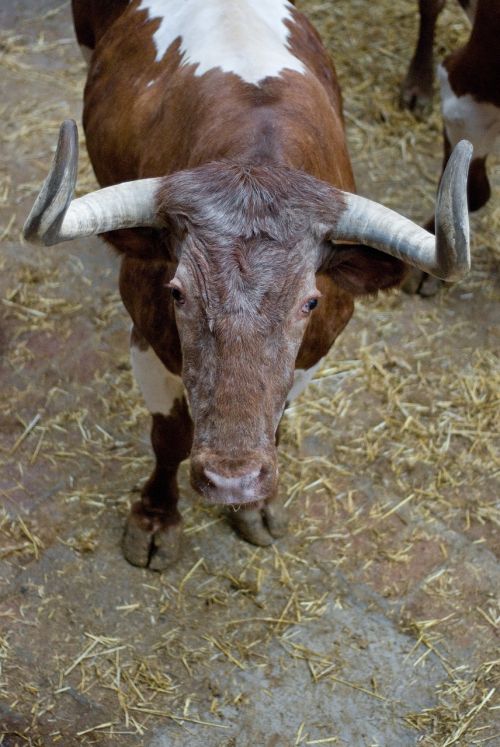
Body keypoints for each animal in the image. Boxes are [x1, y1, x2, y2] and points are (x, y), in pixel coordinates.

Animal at [25, 0, 470, 568]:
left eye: (309, 302)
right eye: (177, 292)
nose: (232, 480)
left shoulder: (316, 351)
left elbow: (276, 418)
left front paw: (255, 506)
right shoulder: (147, 334)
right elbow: (169, 433)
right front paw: (155, 518)